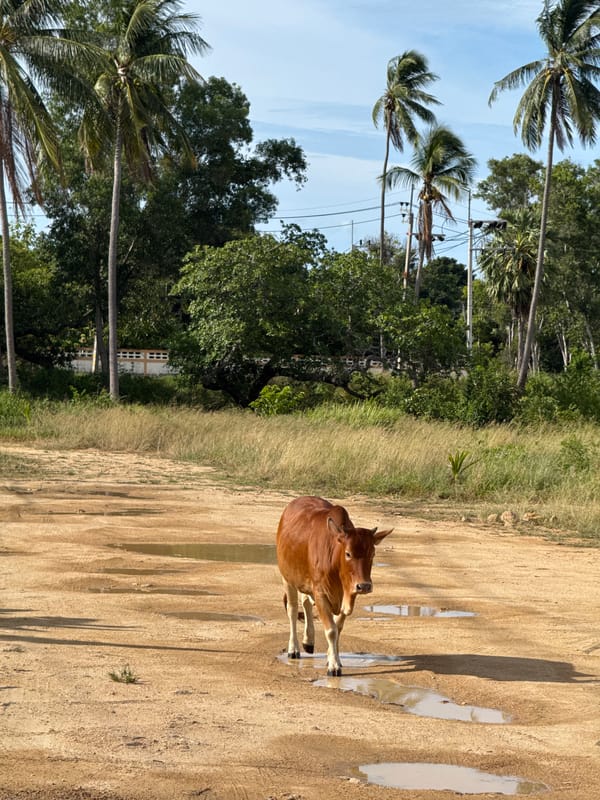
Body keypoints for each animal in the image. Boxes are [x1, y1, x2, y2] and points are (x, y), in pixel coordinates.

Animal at [276, 496, 392, 676]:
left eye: (372, 554)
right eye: (348, 553)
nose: (364, 586)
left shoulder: (348, 595)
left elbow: (338, 628)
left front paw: (333, 658)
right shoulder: (321, 593)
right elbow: (331, 630)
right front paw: (333, 666)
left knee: (306, 603)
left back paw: (308, 641)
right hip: (287, 578)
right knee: (293, 610)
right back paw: (293, 648)